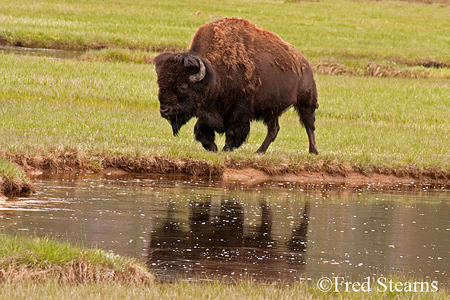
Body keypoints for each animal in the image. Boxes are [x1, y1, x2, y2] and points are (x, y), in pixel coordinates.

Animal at [155, 17, 320, 154]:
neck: (213, 75)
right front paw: (212, 147)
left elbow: (233, 131)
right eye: (160, 84)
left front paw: (226, 149)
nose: (164, 110)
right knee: (274, 130)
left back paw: (313, 151)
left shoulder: (240, 108)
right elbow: (202, 128)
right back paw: (259, 152)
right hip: (273, 109)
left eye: (183, 87)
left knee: (309, 126)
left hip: (305, 102)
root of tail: (303, 62)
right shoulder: (208, 110)